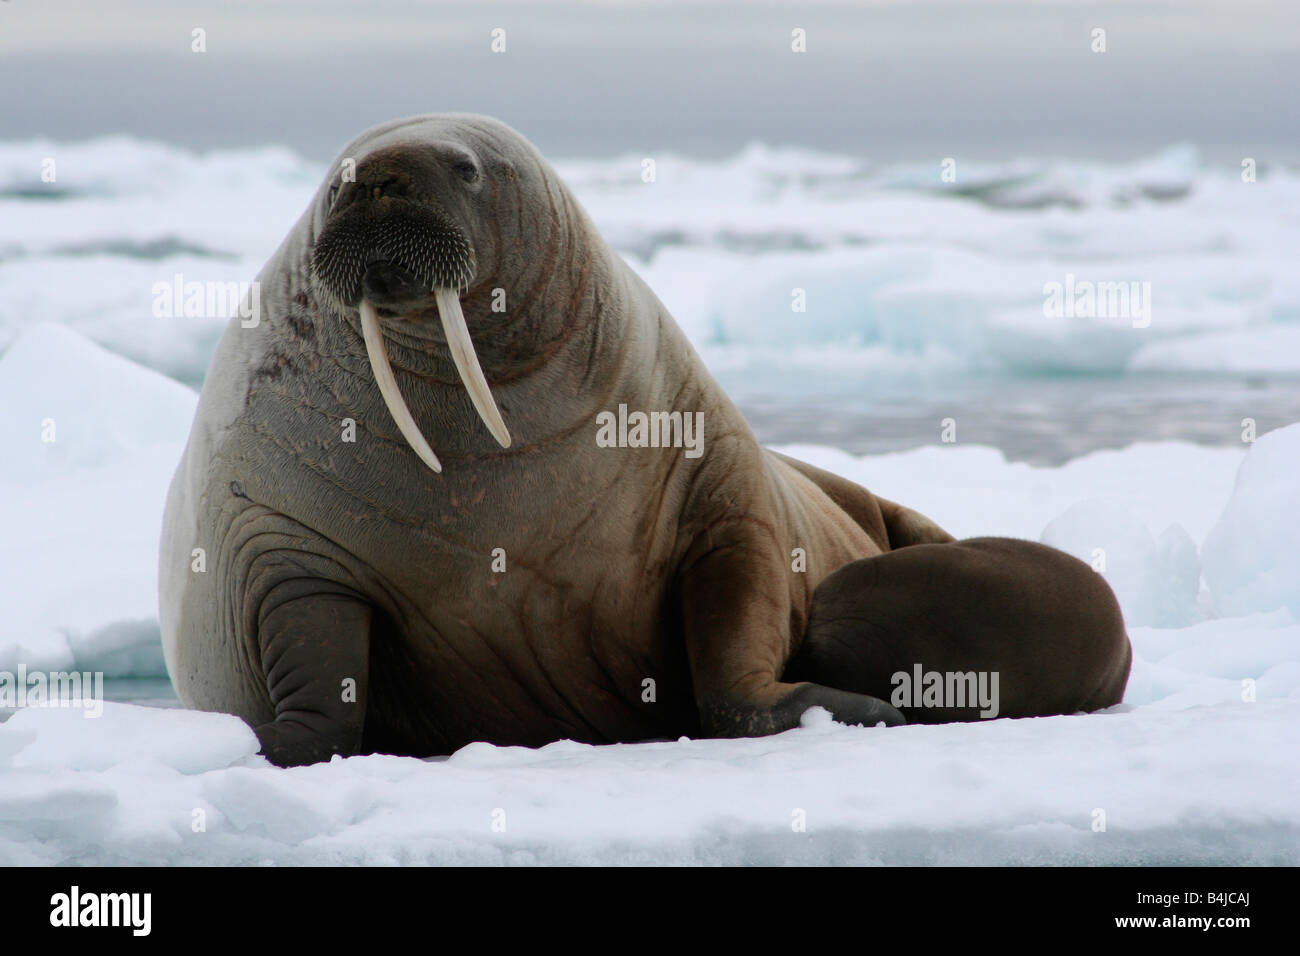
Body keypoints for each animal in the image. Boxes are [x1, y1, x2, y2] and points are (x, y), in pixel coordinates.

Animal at [159, 113, 1128, 770]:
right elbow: (320, 675)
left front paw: (851, 709)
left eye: (464, 168)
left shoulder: (723, 484)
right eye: (332, 183)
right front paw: (270, 743)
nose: (373, 179)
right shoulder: (278, 540)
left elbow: (735, 643)